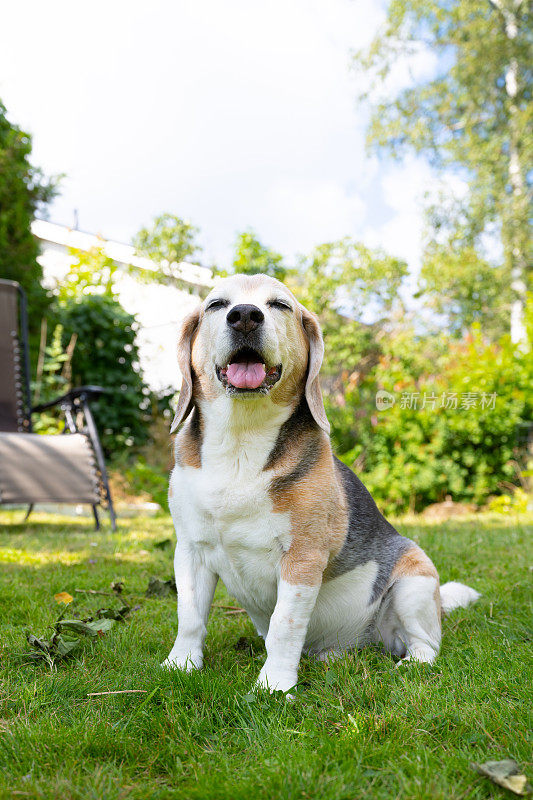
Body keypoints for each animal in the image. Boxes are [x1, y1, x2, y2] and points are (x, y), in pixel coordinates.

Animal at [162, 274, 478, 692]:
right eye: (217, 304)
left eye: (279, 305)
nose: (245, 315)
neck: (241, 440)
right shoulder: (191, 552)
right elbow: (190, 617)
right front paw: (180, 664)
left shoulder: (303, 558)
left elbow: (284, 625)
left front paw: (274, 685)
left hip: (414, 584)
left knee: (426, 645)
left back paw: (411, 663)